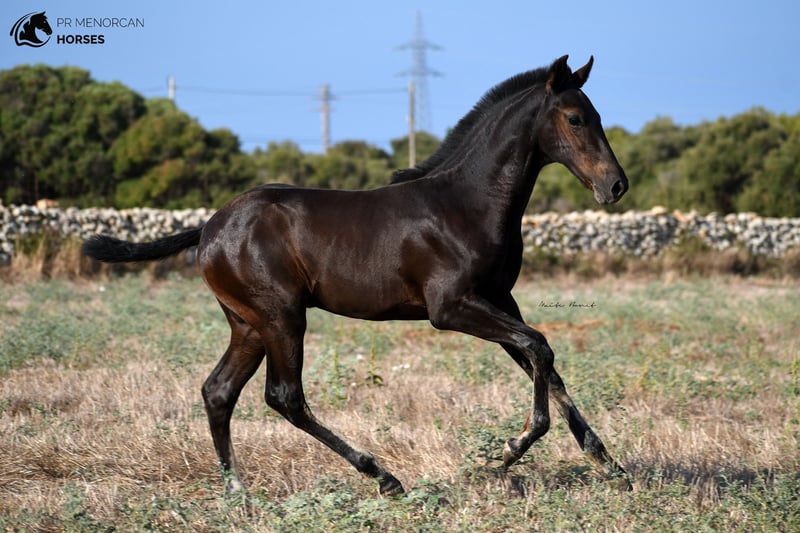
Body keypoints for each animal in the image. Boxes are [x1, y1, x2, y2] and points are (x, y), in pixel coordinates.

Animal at [83, 55, 631, 496]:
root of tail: (210, 227)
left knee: (219, 391)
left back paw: (238, 491)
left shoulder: (499, 300)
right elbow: (539, 347)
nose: (616, 185)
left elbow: (545, 363)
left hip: (248, 324)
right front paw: (511, 448)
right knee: (284, 397)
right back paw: (384, 477)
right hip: (282, 317)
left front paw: (610, 465)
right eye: (576, 118)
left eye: (599, 116)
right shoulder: (452, 308)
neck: (467, 204)